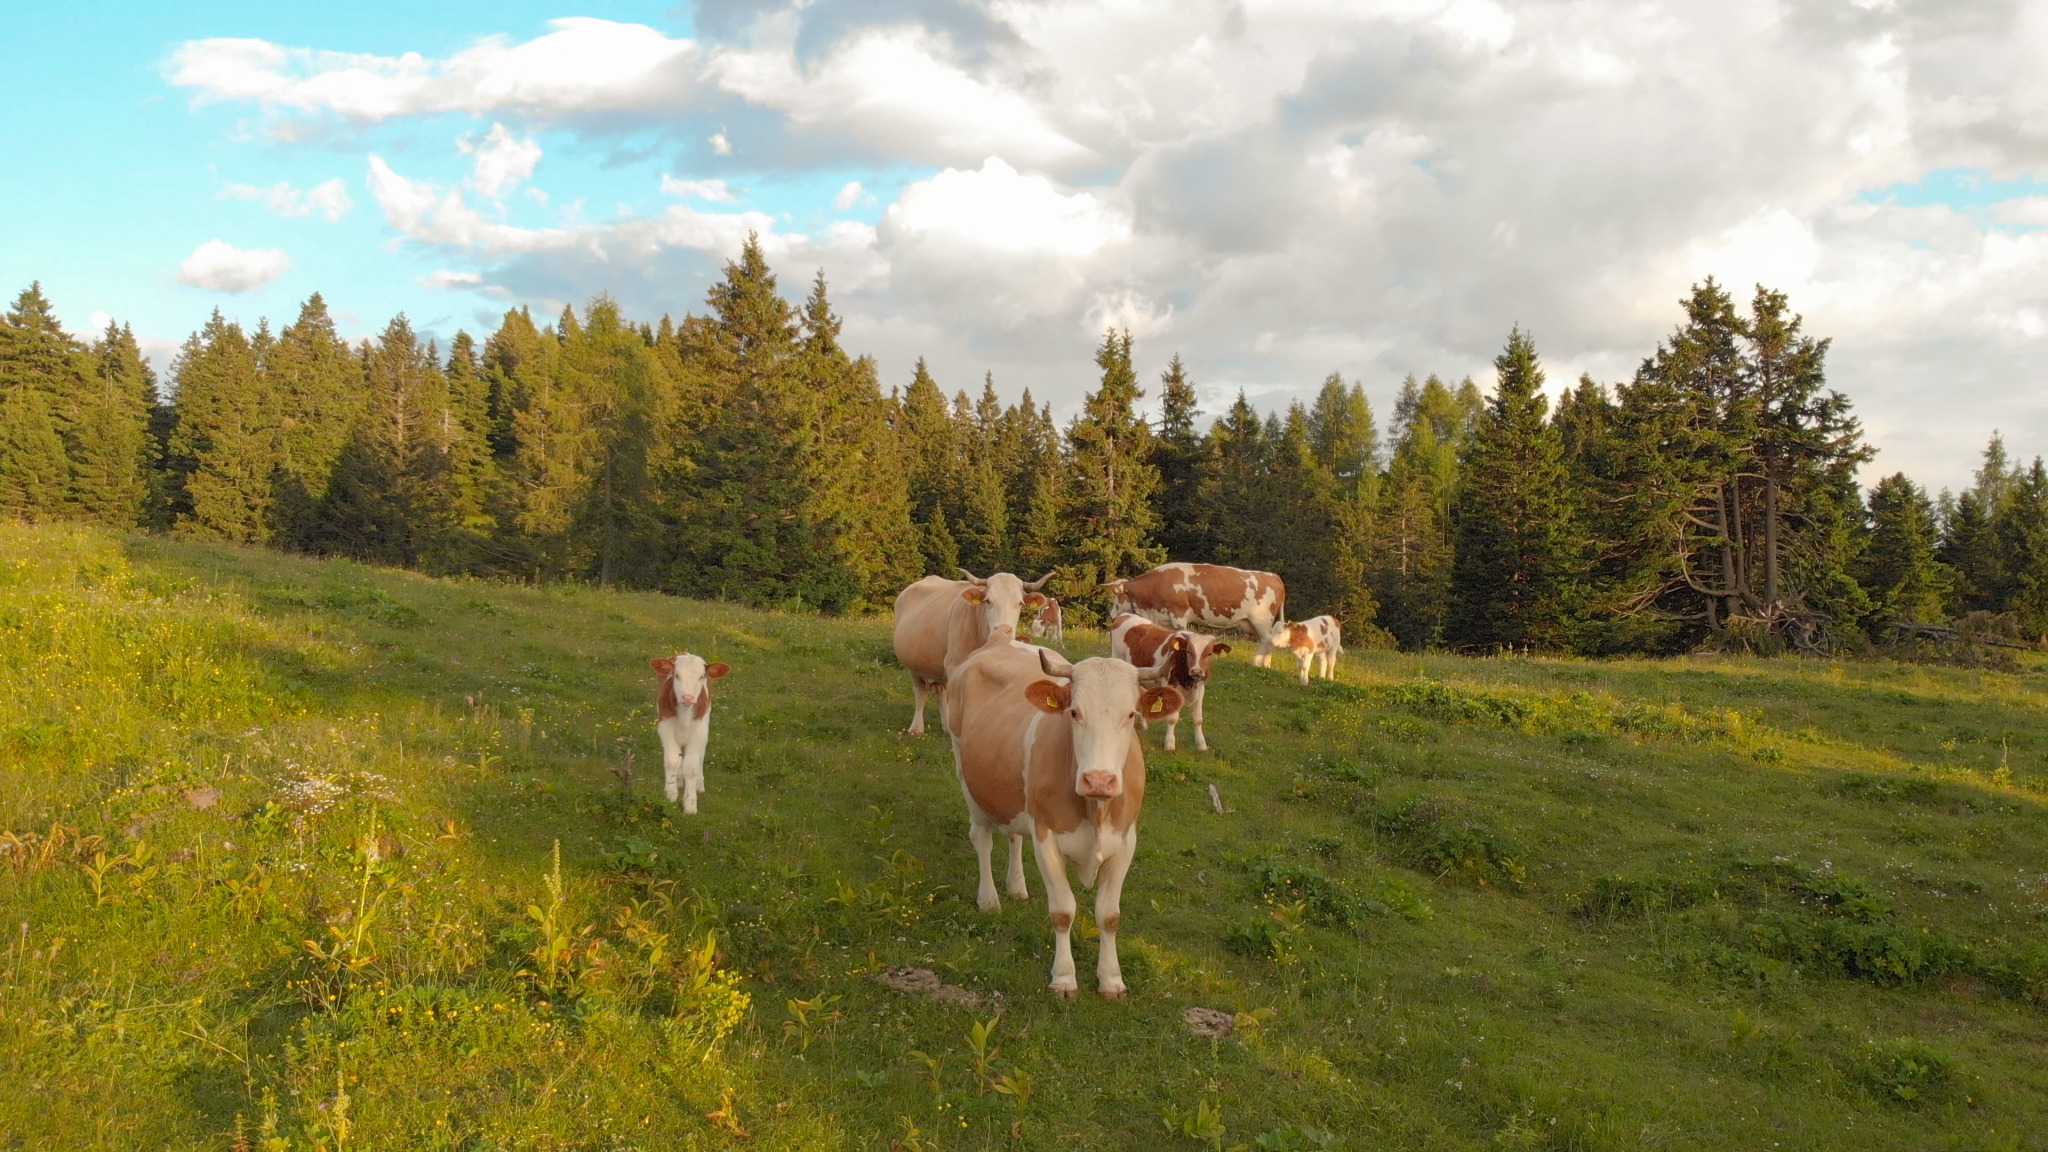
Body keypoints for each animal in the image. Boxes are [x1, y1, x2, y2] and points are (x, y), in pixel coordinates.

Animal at [651, 651, 733, 811]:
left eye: (701, 676)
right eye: (676, 675)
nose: (687, 697)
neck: (685, 714)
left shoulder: (699, 731)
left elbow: (691, 767)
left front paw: (690, 804)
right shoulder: (665, 727)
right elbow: (672, 760)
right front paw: (670, 794)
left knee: (701, 754)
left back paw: (699, 784)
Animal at [892, 565, 1056, 733]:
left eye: (1020, 603)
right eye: (988, 601)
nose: (1003, 630)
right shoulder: (954, 665)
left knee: (940, 692)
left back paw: (946, 726)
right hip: (914, 664)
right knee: (921, 692)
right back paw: (917, 727)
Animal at [942, 635, 1187, 996]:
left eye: (1131, 714)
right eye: (1074, 712)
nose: (1098, 780)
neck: (1095, 810)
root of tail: (1002, 640)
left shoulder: (1126, 840)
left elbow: (1109, 915)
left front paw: (1111, 980)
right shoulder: (1046, 838)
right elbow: (1062, 911)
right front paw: (1063, 978)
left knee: (1013, 834)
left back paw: (1016, 885)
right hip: (965, 769)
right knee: (982, 838)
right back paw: (989, 899)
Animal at [1105, 557, 1277, 660]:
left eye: (1115, 597)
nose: (1111, 614)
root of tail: (1274, 576)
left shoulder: (1178, 613)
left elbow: (1181, 633)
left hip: (1261, 621)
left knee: (1267, 641)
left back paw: (1259, 664)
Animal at [1114, 614, 1220, 750]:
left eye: (1209, 653)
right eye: (1188, 651)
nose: (1197, 671)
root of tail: (1125, 615)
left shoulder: (1200, 690)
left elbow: (1198, 718)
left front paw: (1201, 744)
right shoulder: (1170, 687)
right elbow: (1172, 718)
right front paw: (1169, 743)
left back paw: (1143, 724)